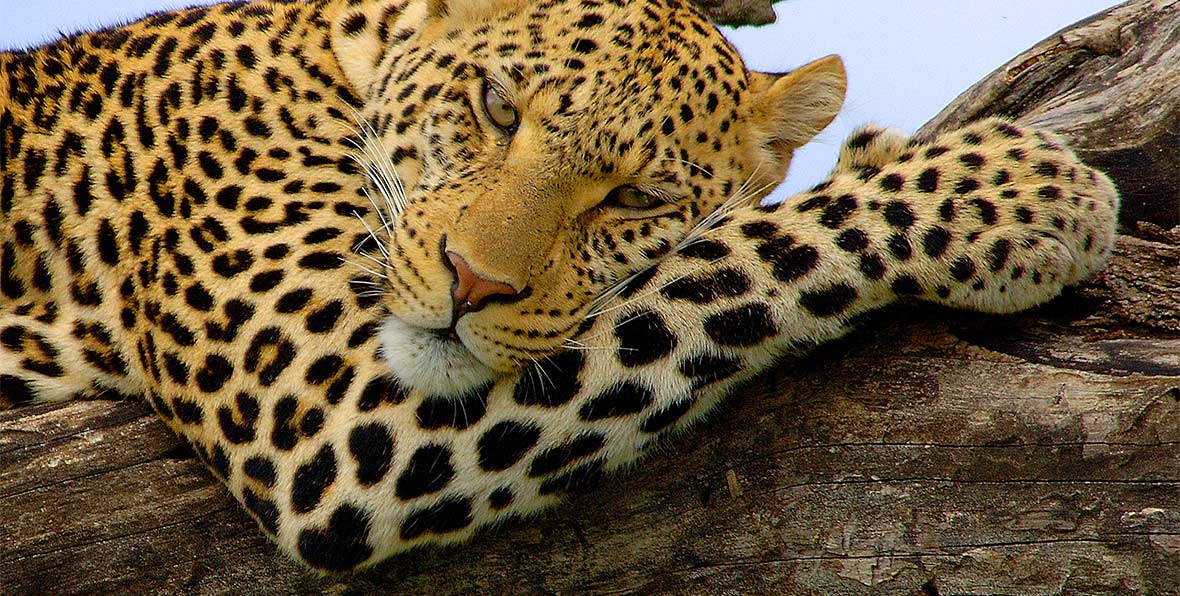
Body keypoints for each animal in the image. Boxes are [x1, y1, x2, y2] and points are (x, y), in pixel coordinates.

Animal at [0, 0, 1119, 572]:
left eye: (633, 196)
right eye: (496, 106)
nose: (470, 281)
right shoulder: (326, 420)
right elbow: (737, 254)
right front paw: (1011, 193)